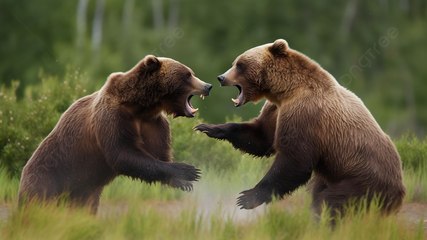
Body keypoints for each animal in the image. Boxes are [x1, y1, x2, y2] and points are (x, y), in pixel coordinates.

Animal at [18, 55, 212, 213]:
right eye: (187, 75)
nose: (208, 86)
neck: (141, 107)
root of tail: (24, 170)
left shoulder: (153, 124)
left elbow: (159, 153)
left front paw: (182, 181)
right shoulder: (112, 118)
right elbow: (123, 153)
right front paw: (188, 171)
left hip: (86, 194)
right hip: (48, 178)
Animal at [196, 39, 406, 219]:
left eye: (240, 64)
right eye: (235, 62)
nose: (221, 77)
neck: (286, 91)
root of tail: (400, 190)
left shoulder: (305, 115)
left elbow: (294, 160)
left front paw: (247, 197)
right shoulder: (276, 110)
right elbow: (261, 137)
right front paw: (209, 127)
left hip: (361, 180)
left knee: (332, 203)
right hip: (334, 178)